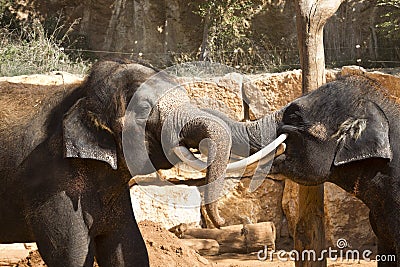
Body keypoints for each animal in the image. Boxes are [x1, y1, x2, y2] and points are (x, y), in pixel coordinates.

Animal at [0, 60, 242, 267]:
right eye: (143, 110)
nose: (222, 221)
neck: (79, 94)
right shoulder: (50, 185)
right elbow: (70, 255)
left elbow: (130, 247)